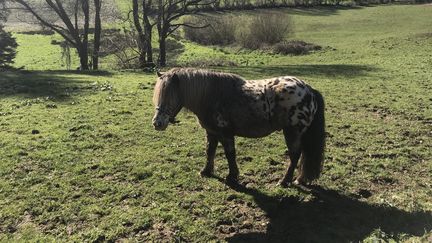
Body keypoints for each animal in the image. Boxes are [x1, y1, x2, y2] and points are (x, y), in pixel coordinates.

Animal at [152, 68, 324, 186]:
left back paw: (284, 181)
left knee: (295, 155)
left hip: (293, 132)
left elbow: (230, 154)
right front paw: (206, 171)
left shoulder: (226, 134)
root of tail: (309, 90)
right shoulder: (211, 132)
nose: (157, 123)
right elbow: (210, 151)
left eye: (170, 95)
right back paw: (299, 179)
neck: (211, 95)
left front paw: (232, 176)